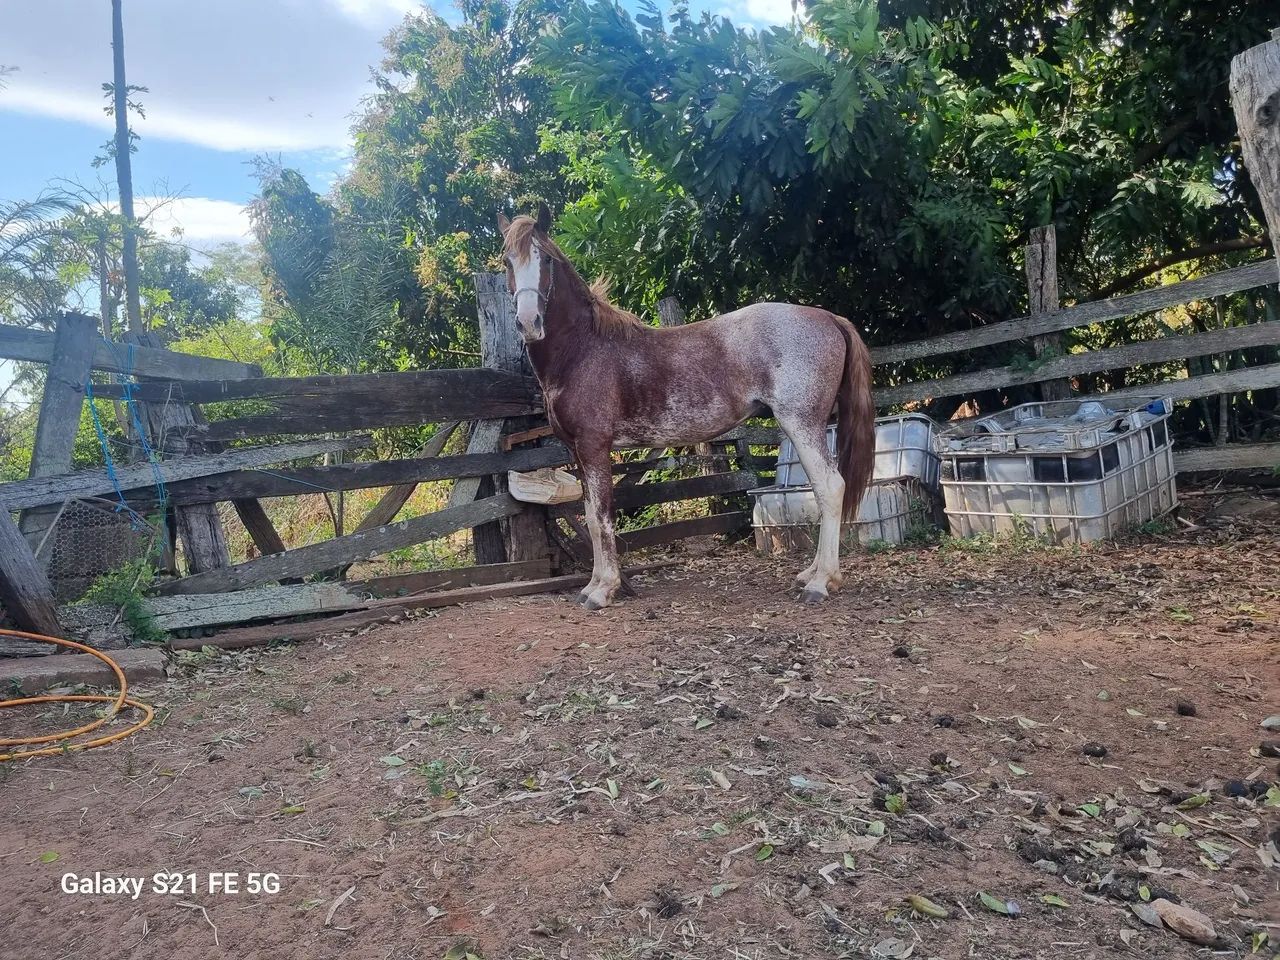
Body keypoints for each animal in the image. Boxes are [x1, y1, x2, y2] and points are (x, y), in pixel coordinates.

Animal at [498, 204, 876, 610]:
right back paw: (811, 573)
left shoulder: (595, 447)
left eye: (546, 259)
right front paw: (593, 585)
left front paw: (603, 590)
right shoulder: (580, 453)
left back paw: (821, 582)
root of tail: (828, 317)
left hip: (802, 423)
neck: (583, 350)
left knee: (830, 487)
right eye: (507, 261)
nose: (528, 323)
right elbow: (590, 516)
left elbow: (601, 518)